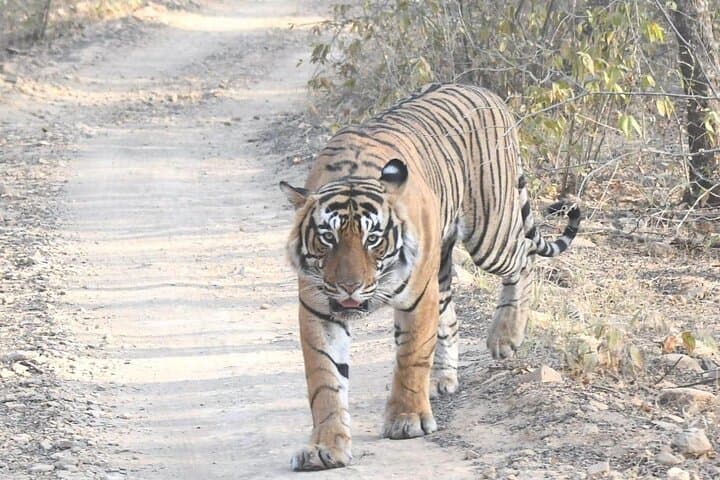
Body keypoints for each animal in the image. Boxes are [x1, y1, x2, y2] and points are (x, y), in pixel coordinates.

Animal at [279, 83, 580, 471]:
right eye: (327, 237)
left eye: (372, 238)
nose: (349, 287)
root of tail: (487, 93)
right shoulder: (319, 310)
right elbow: (325, 382)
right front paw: (324, 448)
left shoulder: (417, 298)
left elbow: (410, 358)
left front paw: (406, 420)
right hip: (444, 261)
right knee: (451, 316)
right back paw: (442, 379)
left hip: (490, 233)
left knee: (524, 259)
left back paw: (505, 336)